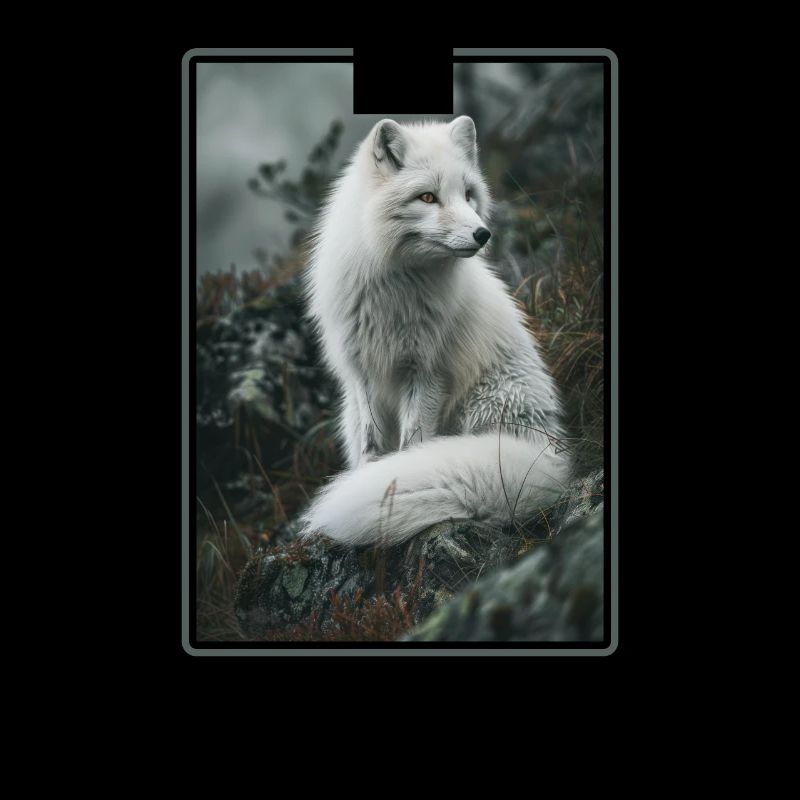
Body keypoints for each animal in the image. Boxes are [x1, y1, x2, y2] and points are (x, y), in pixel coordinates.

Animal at [300, 116, 571, 546]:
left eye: (468, 194)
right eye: (427, 197)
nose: (482, 234)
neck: (395, 290)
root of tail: (550, 454)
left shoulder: (427, 371)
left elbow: (412, 444)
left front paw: (390, 478)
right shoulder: (361, 370)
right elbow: (371, 443)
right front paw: (368, 475)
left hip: (482, 407)